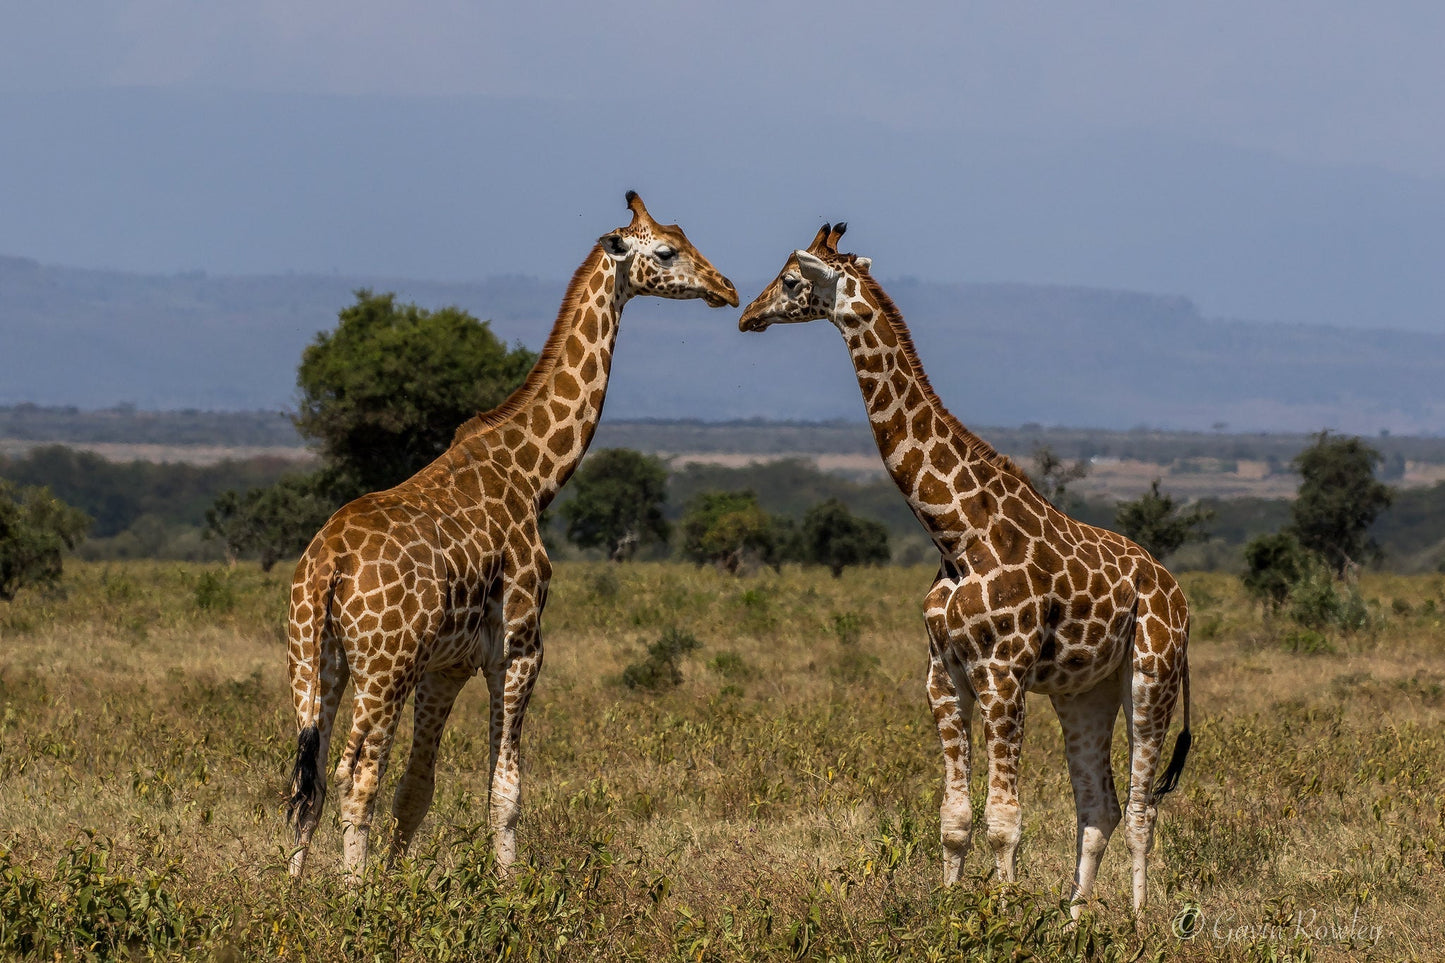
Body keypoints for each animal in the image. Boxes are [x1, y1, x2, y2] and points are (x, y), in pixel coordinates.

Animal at [283, 189, 739, 879]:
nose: (727, 288)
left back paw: (291, 895)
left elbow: (418, 790)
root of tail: (327, 564)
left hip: (315, 664)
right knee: (352, 777)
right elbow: (505, 789)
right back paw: (350, 896)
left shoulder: (446, 665)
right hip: (384, 666)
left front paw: (399, 885)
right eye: (666, 251)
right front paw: (508, 890)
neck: (533, 476)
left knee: (306, 782)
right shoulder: (520, 647)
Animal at [739, 221, 1190, 913]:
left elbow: (1004, 820)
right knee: (1100, 807)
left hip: (1151, 674)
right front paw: (949, 913)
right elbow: (954, 818)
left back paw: (1139, 922)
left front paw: (1001, 916)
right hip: (1084, 691)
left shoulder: (1003, 672)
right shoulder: (942, 673)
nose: (748, 315)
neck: (956, 531)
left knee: (1143, 808)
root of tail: (1178, 593)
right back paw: (1075, 920)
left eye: (791, 280)